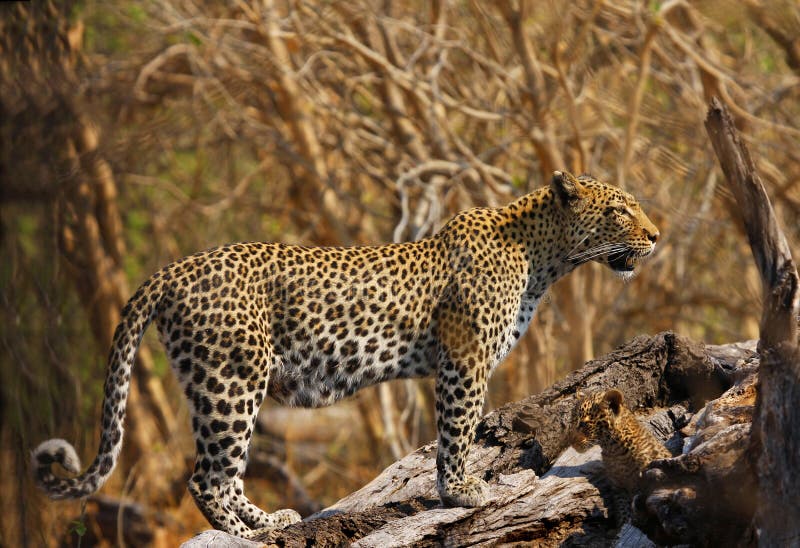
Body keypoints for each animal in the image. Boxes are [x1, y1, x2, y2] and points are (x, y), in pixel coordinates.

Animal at [32, 170, 656, 536]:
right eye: (620, 210)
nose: (655, 235)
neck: (543, 259)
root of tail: (171, 269)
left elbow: (452, 433)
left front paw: (455, 489)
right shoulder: (464, 358)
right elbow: (457, 430)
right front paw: (462, 492)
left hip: (212, 382)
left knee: (225, 472)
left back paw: (271, 519)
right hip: (232, 380)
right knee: (206, 477)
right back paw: (250, 535)